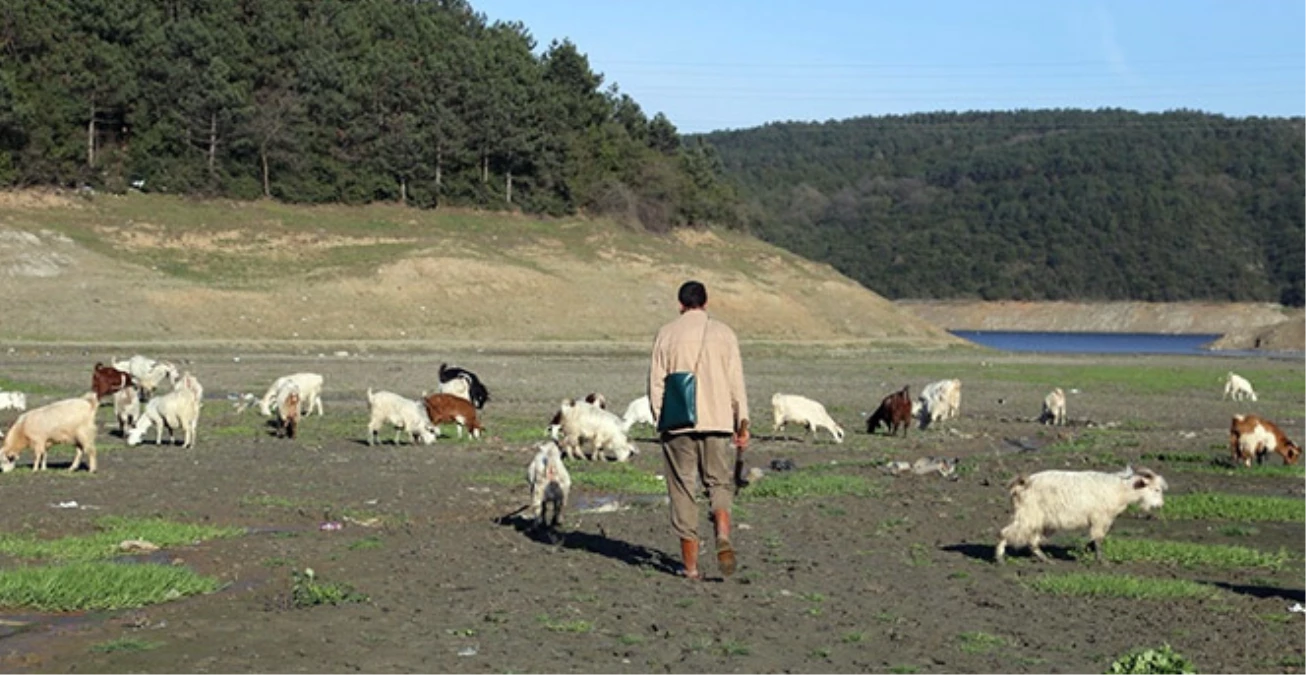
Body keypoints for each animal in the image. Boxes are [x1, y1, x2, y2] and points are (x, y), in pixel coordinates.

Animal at [992, 462, 1170, 564]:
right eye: (1156, 489)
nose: (1159, 505)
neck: (1119, 490)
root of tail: (1022, 484)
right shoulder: (1100, 518)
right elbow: (1098, 539)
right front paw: (1101, 561)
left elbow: (1095, 539)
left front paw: (1088, 551)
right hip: (1028, 515)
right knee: (1005, 532)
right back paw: (1000, 558)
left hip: (1041, 520)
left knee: (1032, 541)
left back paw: (1046, 560)